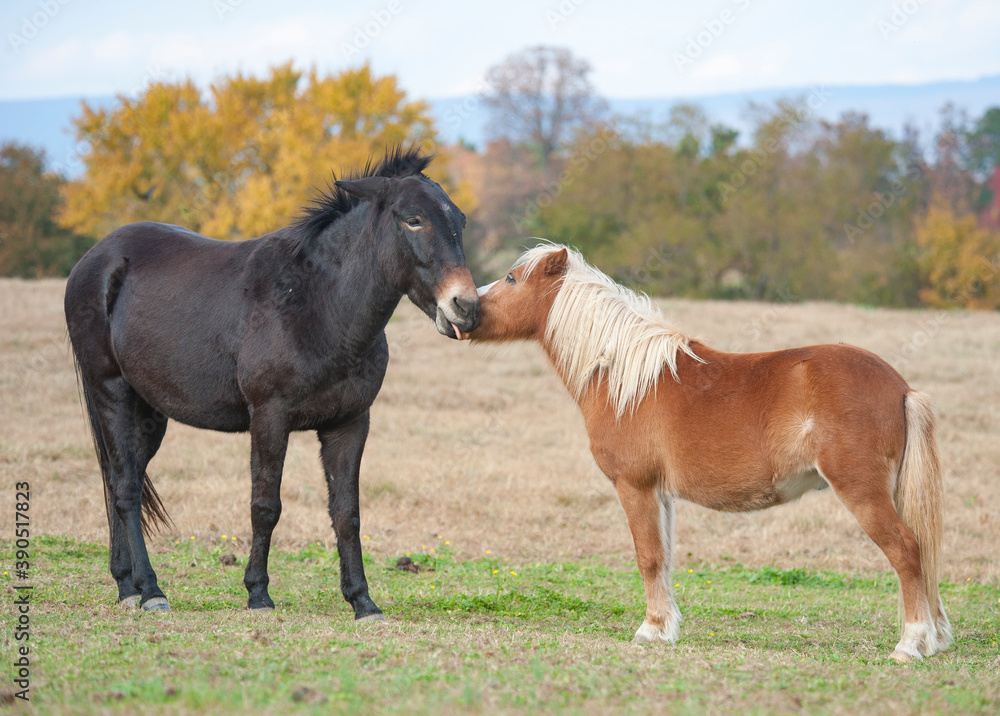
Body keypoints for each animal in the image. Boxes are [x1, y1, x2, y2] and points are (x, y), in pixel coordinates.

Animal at [66, 147, 480, 620]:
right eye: (413, 219)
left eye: (460, 219)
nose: (466, 308)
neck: (319, 304)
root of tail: (95, 259)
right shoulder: (269, 417)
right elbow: (265, 506)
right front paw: (258, 593)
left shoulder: (350, 423)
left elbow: (347, 512)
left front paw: (362, 600)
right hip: (111, 392)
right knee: (127, 489)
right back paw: (151, 589)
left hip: (148, 412)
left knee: (119, 477)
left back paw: (126, 584)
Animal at [468, 245, 952, 660]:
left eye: (510, 278)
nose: (464, 310)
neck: (625, 375)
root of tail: (901, 387)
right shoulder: (660, 495)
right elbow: (663, 559)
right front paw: (665, 628)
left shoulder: (635, 487)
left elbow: (648, 557)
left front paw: (650, 630)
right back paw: (933, 638)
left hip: (862, 492)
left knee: (907, 550)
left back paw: (911, 644)